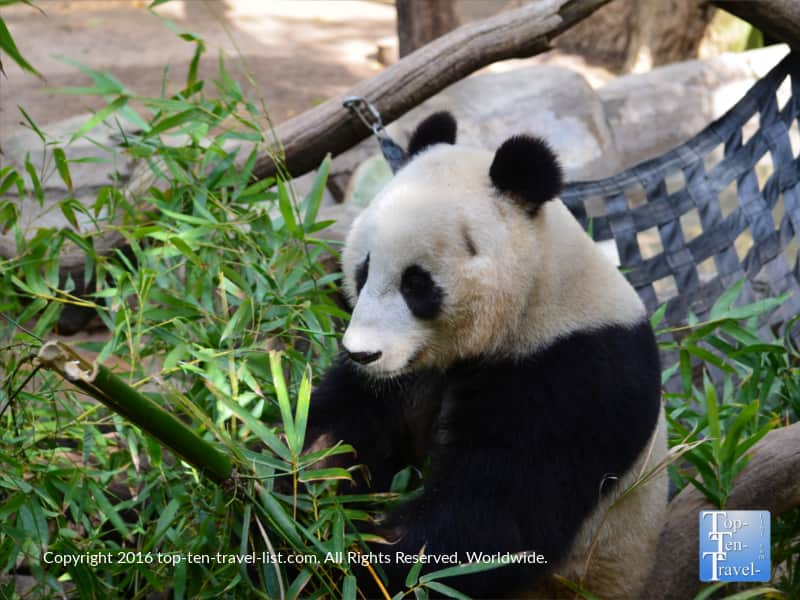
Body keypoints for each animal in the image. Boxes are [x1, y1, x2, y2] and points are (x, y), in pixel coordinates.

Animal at [305, 112, 668, 599]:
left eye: (416, 283)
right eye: (363, 271)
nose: (363, 354)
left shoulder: (576, 376)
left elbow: (492, 521)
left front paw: (356, 554)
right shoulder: (411, 374)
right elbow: (342, 425)